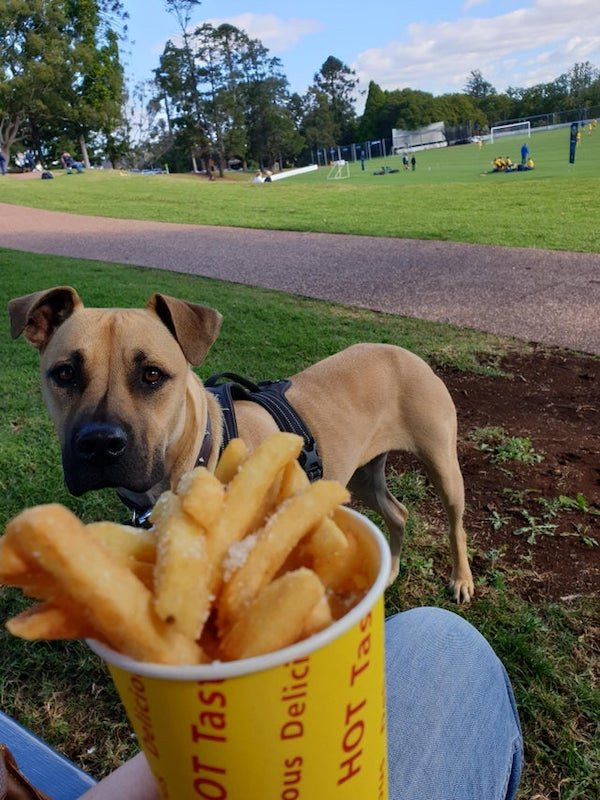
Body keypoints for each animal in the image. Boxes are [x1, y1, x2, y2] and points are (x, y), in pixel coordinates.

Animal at [5, 286, 474, 600]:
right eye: (64, 373)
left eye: (152, 374)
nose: (101, 444)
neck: (202, 455)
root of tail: (405, 352)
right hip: (361, 473)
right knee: (397, 512)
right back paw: (389, 570)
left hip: (443, 465)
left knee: (455, 524)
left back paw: (461, 579)